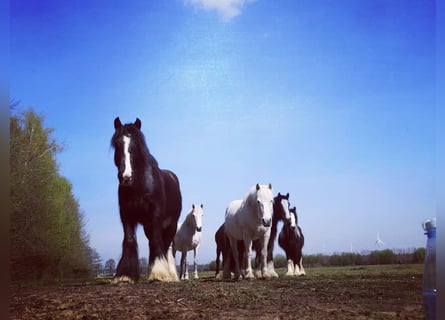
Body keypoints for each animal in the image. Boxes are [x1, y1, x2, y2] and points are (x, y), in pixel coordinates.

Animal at [112, 117, 181, 282]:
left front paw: (159, 273)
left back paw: (170, 273)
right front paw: (125, 275)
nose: (126, 177)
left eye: (136, 145)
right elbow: (129, 240)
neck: (140, 185)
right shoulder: (126, 215)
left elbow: (157, 241)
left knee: (167, 246)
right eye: (117, 144)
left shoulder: (155, 215)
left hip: (172, 224)